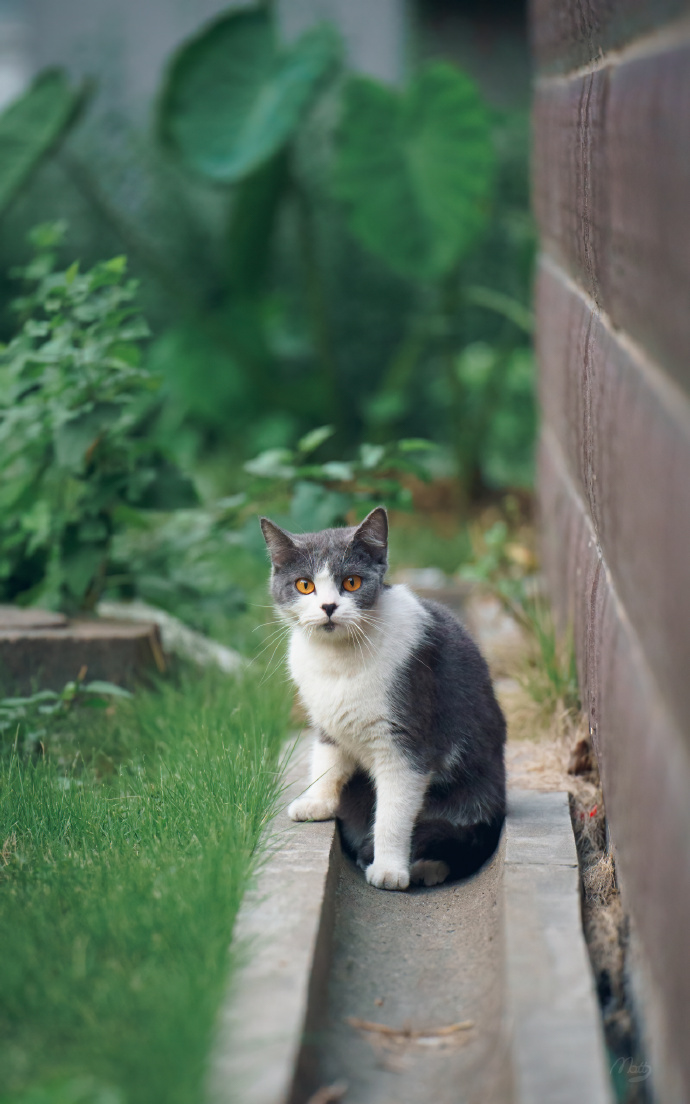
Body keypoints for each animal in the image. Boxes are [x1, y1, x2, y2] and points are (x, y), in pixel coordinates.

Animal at [259, 505, 505, 892]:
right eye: (304, 585)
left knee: (458, 840)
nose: (328, 606)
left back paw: (425, 867)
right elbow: (326, 758)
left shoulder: (407, 738)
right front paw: (317, 802)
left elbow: (393, 812)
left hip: (473, 796)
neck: (337, 660)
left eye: (352, 582)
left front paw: (389, 869)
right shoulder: (325, 719)